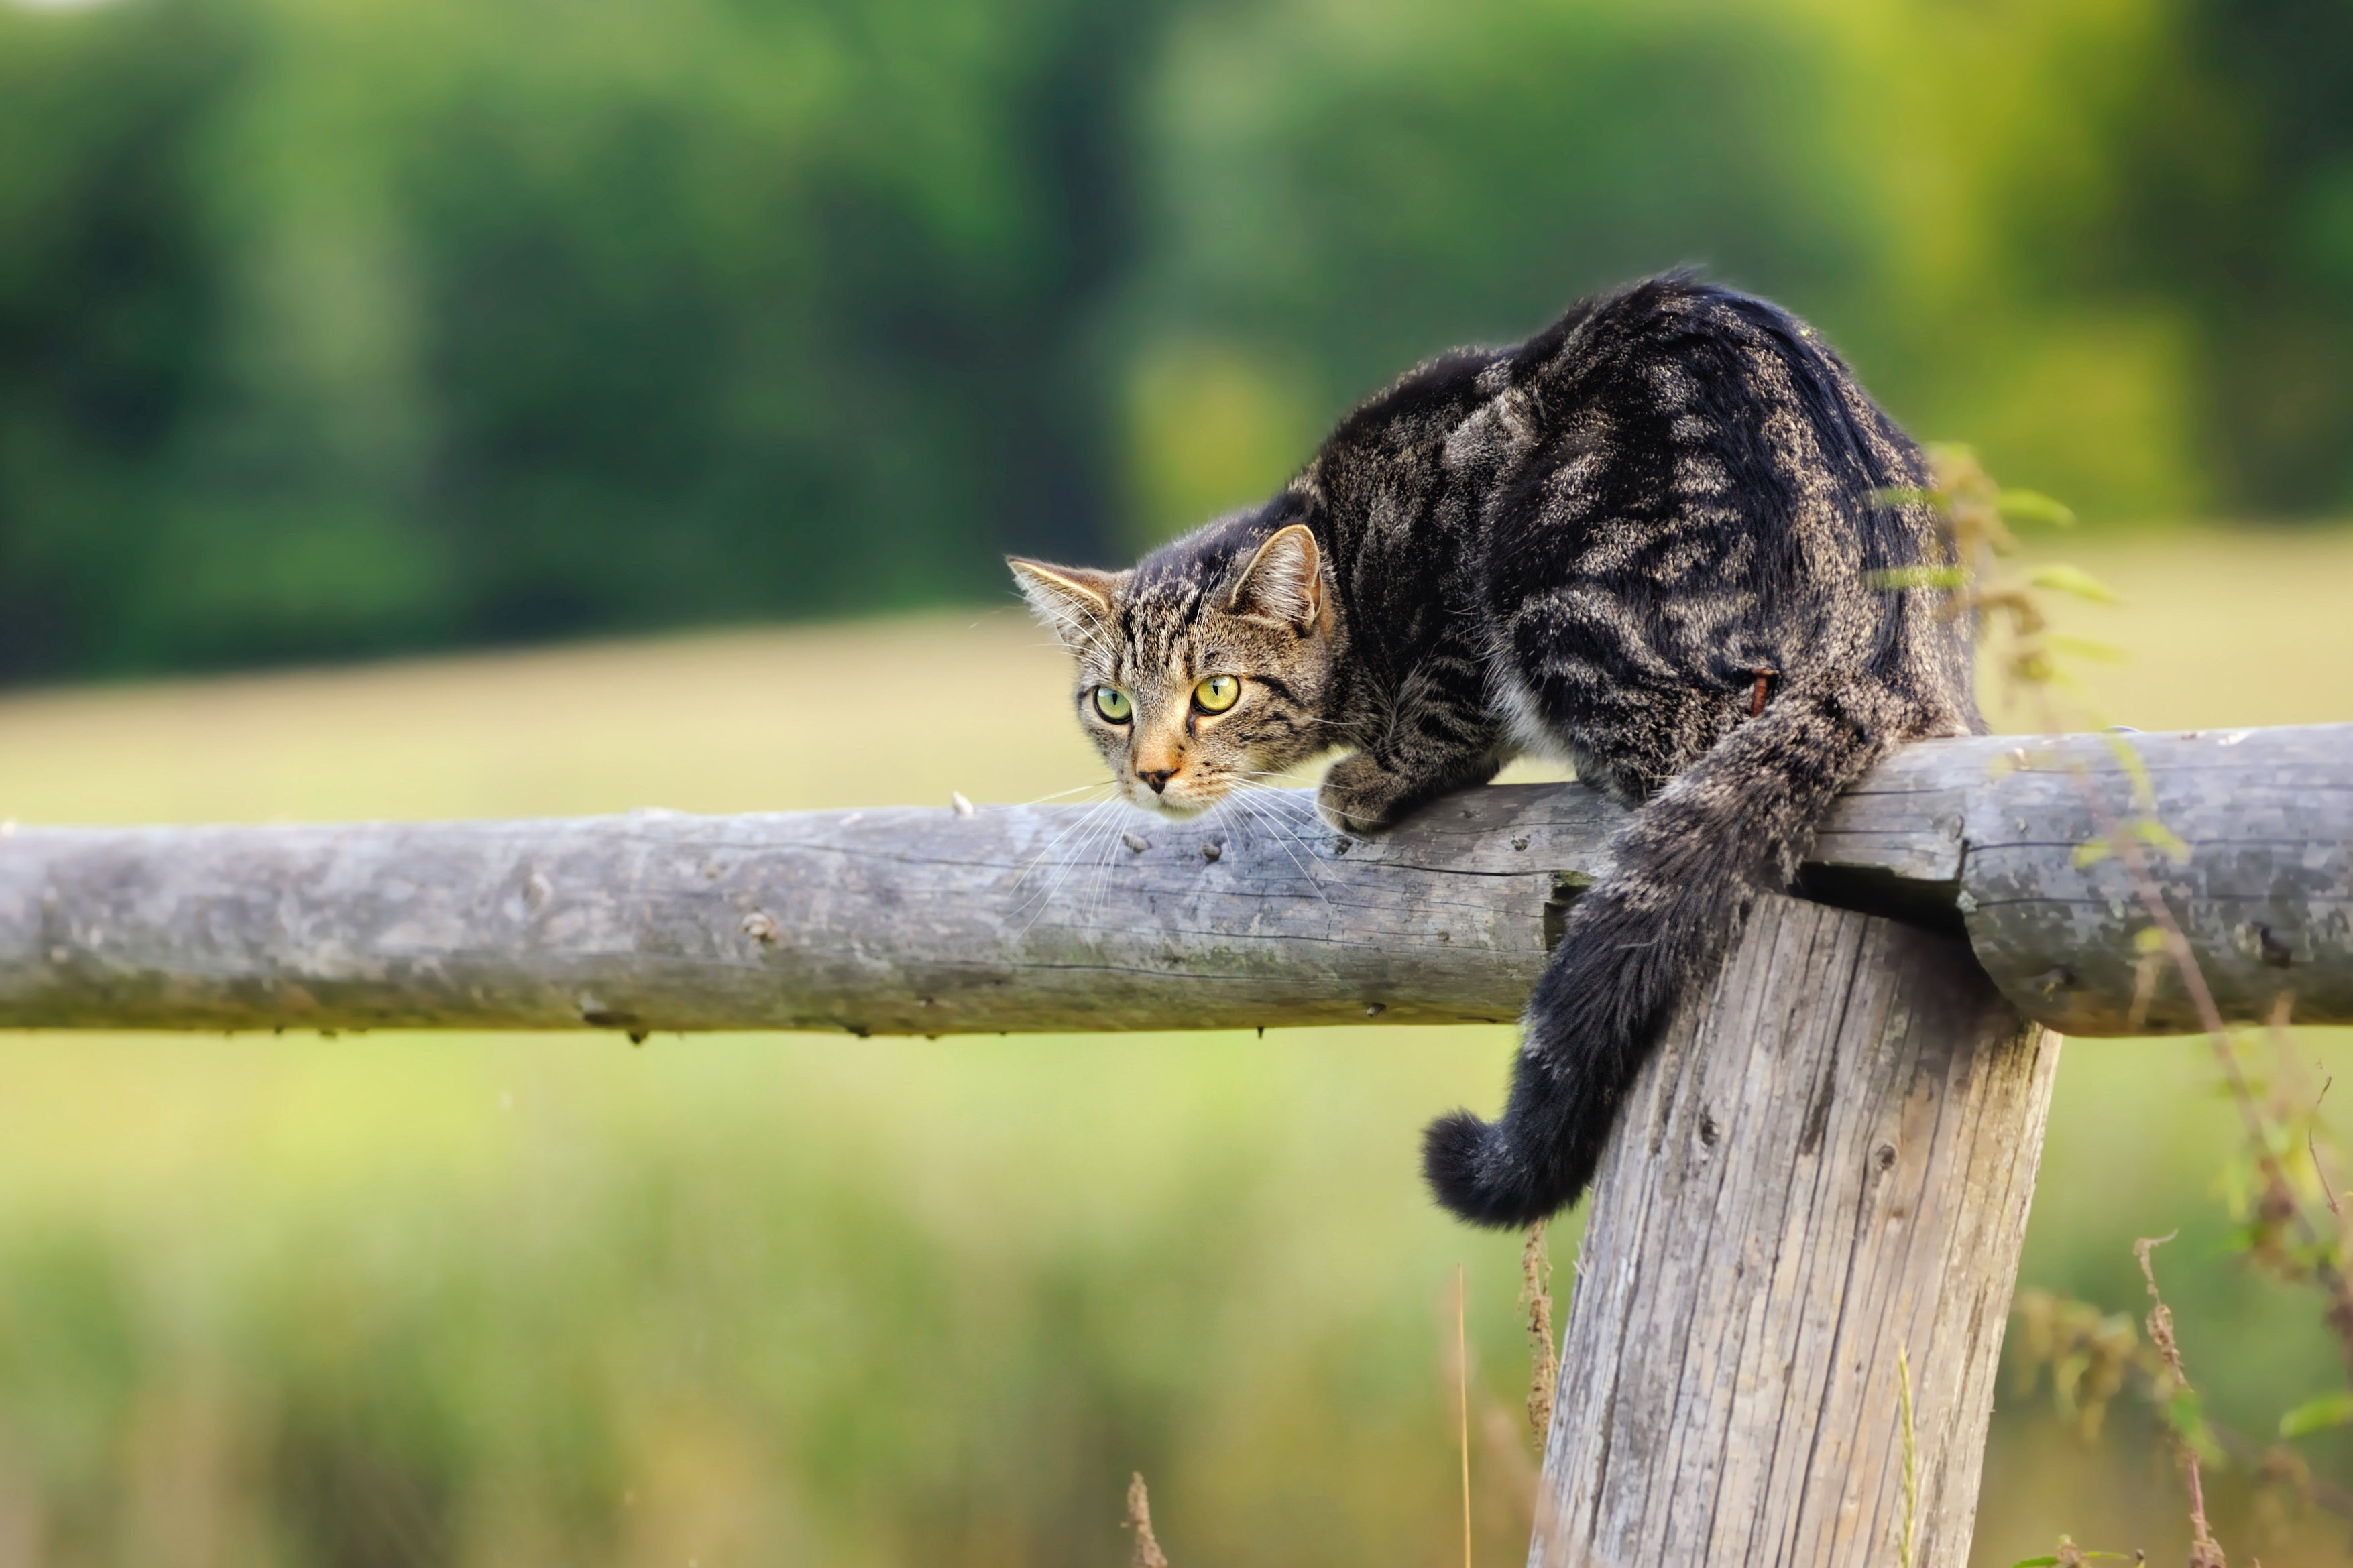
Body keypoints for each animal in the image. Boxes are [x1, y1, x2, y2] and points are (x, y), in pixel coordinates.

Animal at [1011, 276, 1986, 1231]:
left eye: (1216, 693)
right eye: (1111, 704)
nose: (1151, 772)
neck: (1348, 555)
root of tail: (1888, 657)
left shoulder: (1452, 576)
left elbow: (1447, 705)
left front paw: (1376, 775)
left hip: (1546, 569)